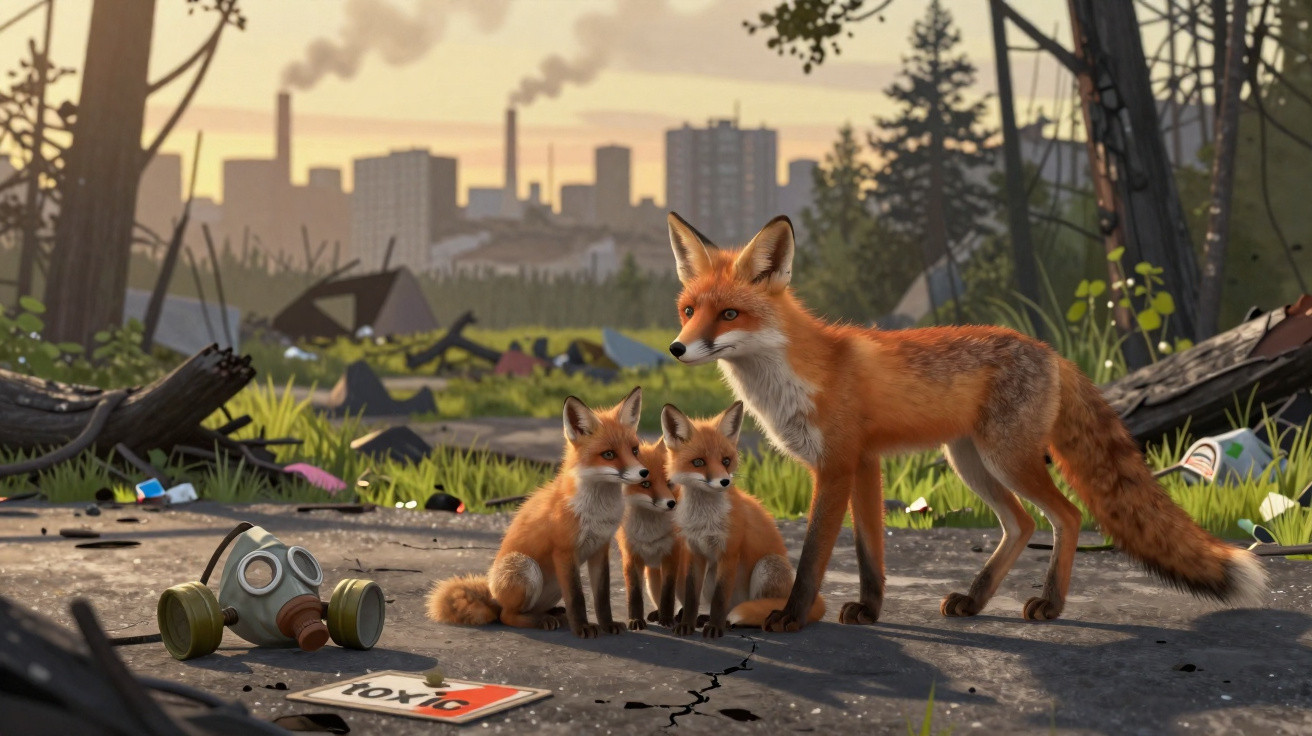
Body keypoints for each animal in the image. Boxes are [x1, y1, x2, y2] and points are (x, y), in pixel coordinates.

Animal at [427, 387, 647, 638]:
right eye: (609, 454)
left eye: (634, 450)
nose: (644, 473)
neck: (597, 511)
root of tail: (492, 592)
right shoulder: (564, 551)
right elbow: (577, 598)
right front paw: (582, 627)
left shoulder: (600, 549)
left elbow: (602, 597)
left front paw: (607, 624)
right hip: (526, 566)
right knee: (506, 616)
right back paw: (541, 621)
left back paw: (553, 614)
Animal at [615, 440, 689, 629]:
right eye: (646, 484)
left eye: (668, 482)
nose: (671, 503)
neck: (649, 532)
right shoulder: (631, 556)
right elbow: (634, 594)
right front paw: (635, 619)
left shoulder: (671, 555)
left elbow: (668, 594)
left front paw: (667, 619)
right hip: (652, 578)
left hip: (681, 576)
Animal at [661, 401, 825, 638]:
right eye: (698, 462)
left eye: (726, 461)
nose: (724, 482)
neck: (704, 520)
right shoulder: (695, 553)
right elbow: (692, 599)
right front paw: (687, 625)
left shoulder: (729, 552)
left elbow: (720, 599)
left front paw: (715, 628)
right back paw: (707, 618)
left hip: (767, 566)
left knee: (756, 608)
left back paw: (736, 623)